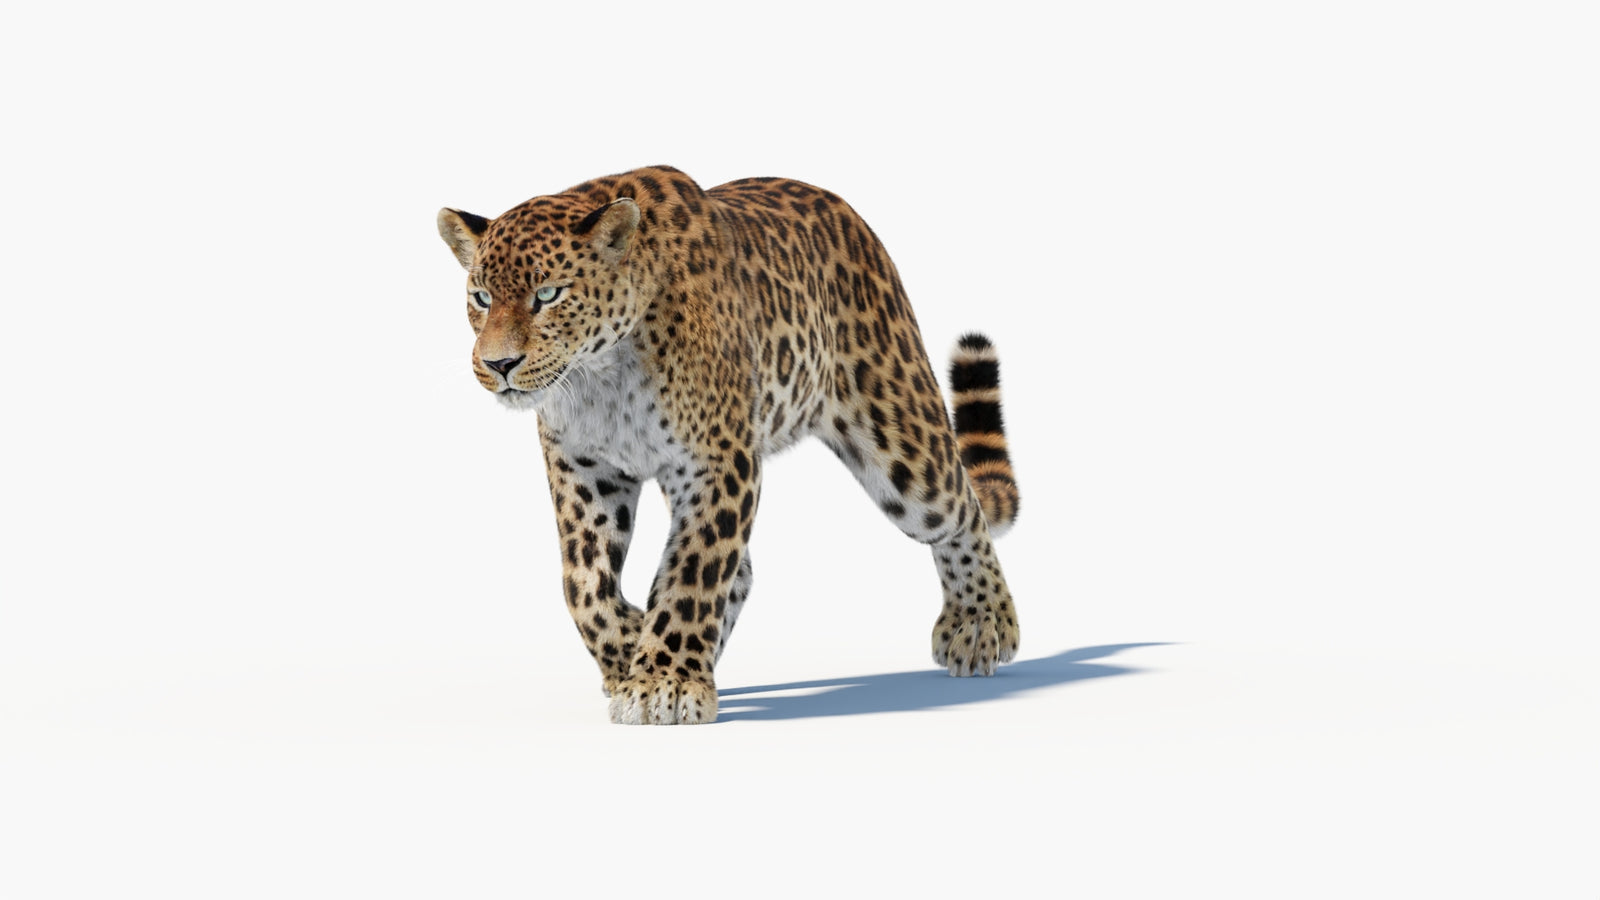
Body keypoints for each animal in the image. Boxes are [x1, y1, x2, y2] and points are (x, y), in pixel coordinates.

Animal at [436, 165, 1021, 724]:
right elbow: (583, 584)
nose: (498, 365)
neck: (602, 373)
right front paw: (629, 652)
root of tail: (851, 217)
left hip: (901, 438)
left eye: (548, 295)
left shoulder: (719, 460)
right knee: (739, 572)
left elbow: (694, 568)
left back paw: (981, 625)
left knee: (960, 508)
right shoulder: (585, 469)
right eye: (481, 298)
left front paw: (663, 681)